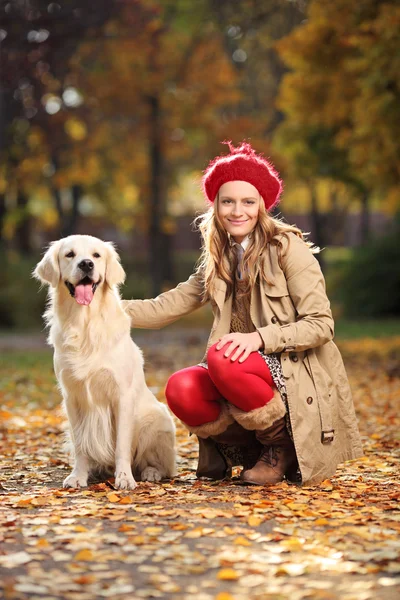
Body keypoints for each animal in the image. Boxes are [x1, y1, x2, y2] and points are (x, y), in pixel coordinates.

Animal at [34, 232, 177, 490]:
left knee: (163, 465)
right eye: (69, 254)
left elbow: (121, 445)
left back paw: (150, 472)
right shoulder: (72, 397)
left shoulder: (122, 395)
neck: (84, 323)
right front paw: (78, 476)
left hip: (157, 420)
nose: (86, 264)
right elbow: (81, 445)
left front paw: (124, 478)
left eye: (96, 255)